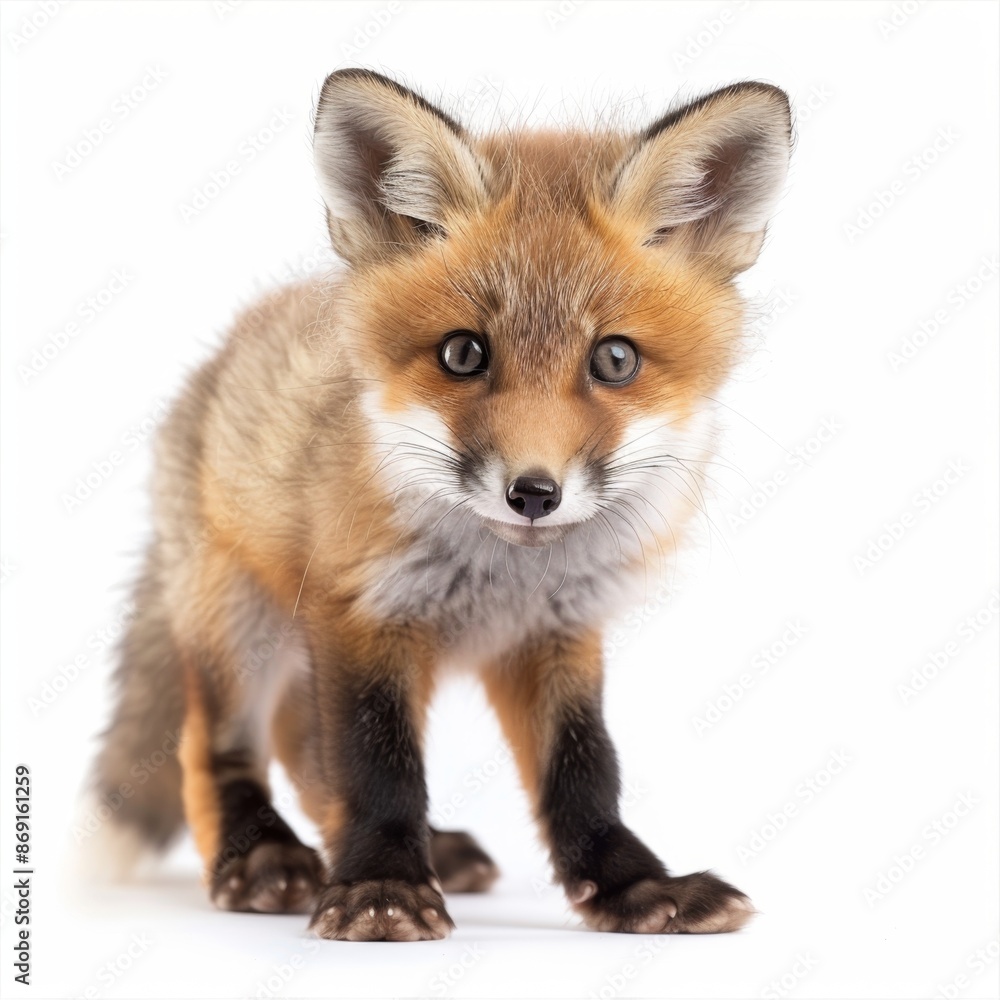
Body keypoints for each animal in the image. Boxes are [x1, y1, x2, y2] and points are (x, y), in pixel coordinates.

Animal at [89, 69, 792, 941]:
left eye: (615, 360)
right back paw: (263, 858)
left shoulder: (558, 633)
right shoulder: (361, 610)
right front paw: (381, 886)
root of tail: (214, 362)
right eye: (463, 353)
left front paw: (632, 886)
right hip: (235, 619)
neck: (502, 578)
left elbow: (583, 772)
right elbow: (377, 763)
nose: (534, 492)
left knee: (301, 745)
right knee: (218, 746)